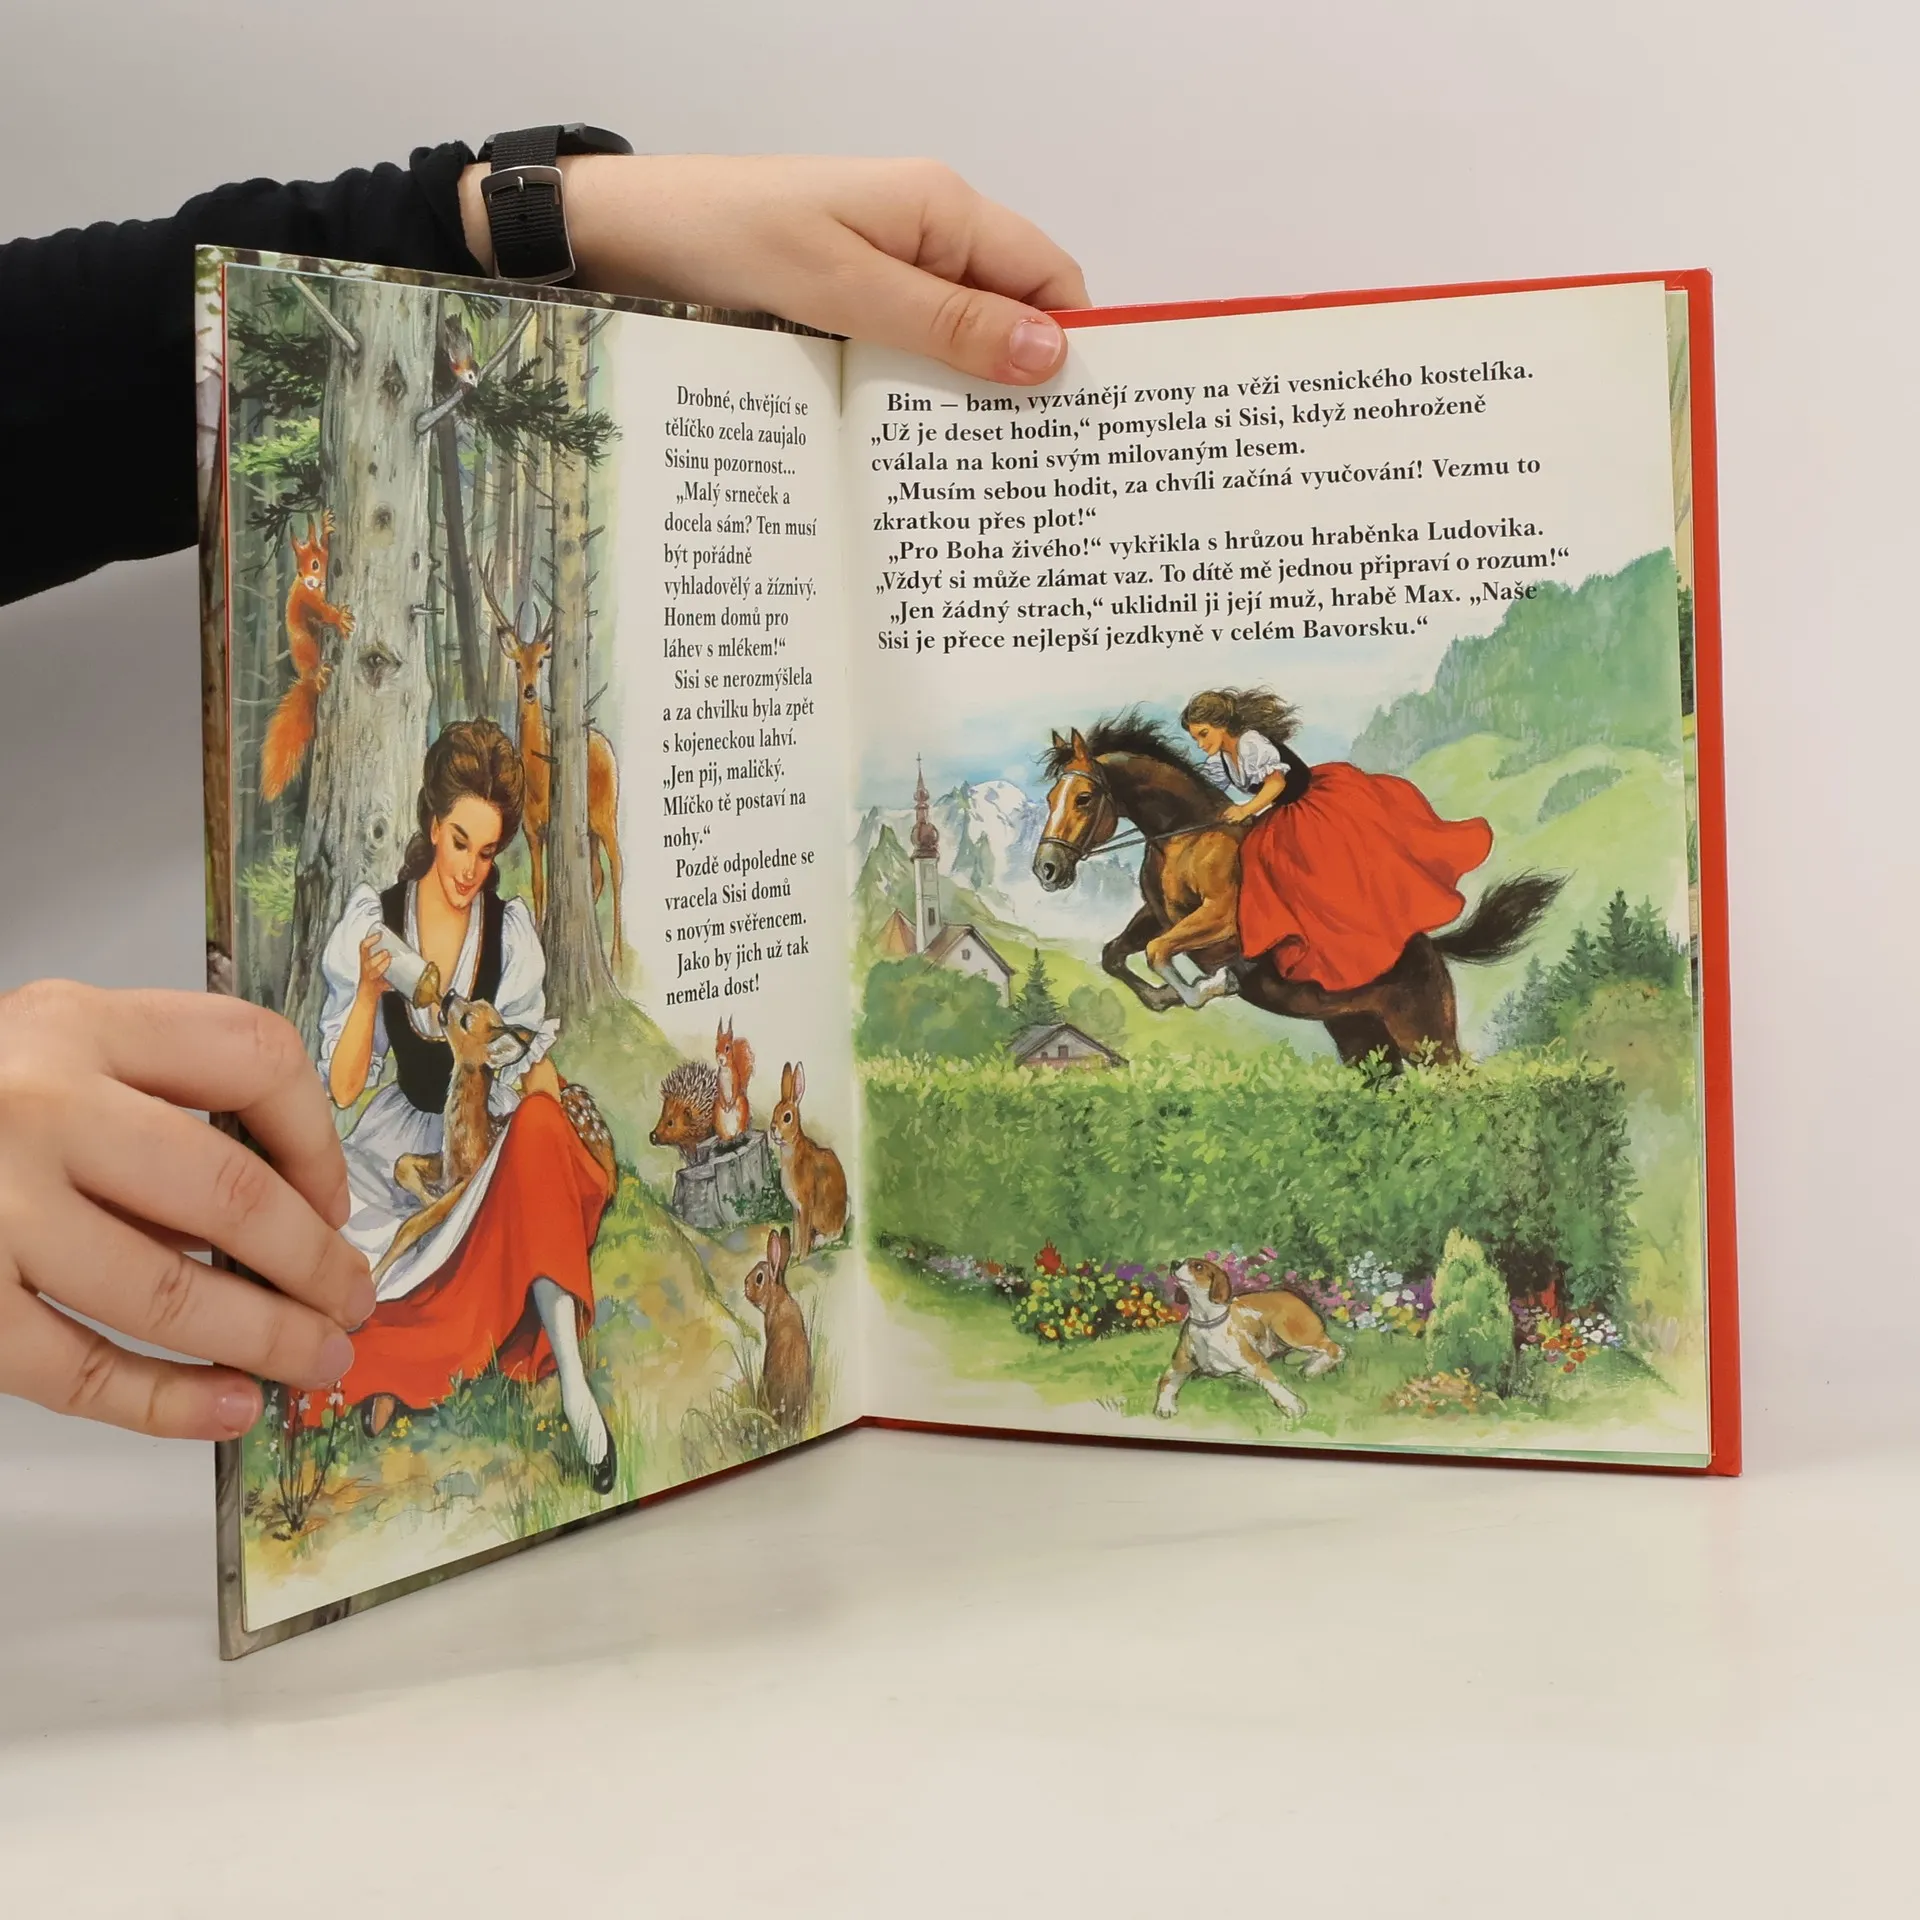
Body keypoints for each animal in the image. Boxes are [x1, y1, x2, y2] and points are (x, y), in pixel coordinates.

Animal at [768, 1061, 848, 1257]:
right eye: (774, 1111)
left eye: (787, 1117)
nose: (772, 1129)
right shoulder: (796, 1209)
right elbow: (797, 1232)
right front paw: (794, 1254)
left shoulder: (806, 1206)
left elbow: (804, 1233)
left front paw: (802, 1257)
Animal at [1032, 715, 1562, 1066]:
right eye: (1051, 796)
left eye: (1084, 798)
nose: (1047, 870)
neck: (1185, 837)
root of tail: (1434, 952)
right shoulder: (1156, 913)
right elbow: (1116, 954)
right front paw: (1164, 997)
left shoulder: (1219, 918)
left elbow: (1160, 951)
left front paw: (1208, 986)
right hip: (1360, 1037)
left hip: (1426, 1037)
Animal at [1155, 1258, 1345, 1420]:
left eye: (1198, 1266)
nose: (1175, 1262)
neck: (1207, 1324)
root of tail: (1289, 1292)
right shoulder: (1178, 1366)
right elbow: (1166, 1382)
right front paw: (1165, 1406)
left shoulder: (1255, 1362)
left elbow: (1272, 1382)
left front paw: (1292, 1405)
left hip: (1290, 1332)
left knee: (1336, 1349)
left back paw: (1313, 1368)